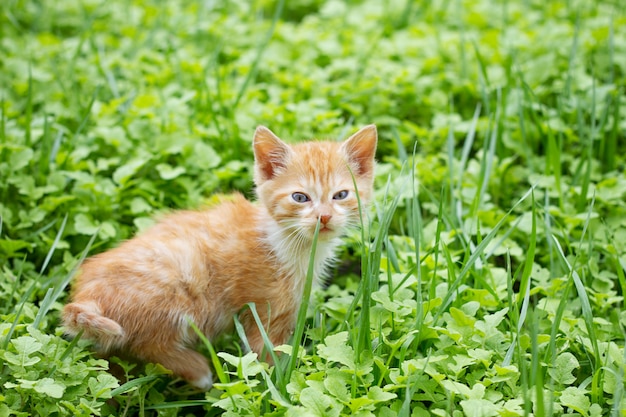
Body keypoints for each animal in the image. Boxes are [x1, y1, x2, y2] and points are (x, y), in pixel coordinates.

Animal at [62, 122, 376, 386]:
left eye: (341, 195)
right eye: (300, 197)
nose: (324, 217)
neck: (290, 244)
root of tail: (86, 294)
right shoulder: (266, 309)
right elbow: (265, 356)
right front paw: (275, 386)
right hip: (183, 283)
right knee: (144, 344)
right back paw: (198, 371)